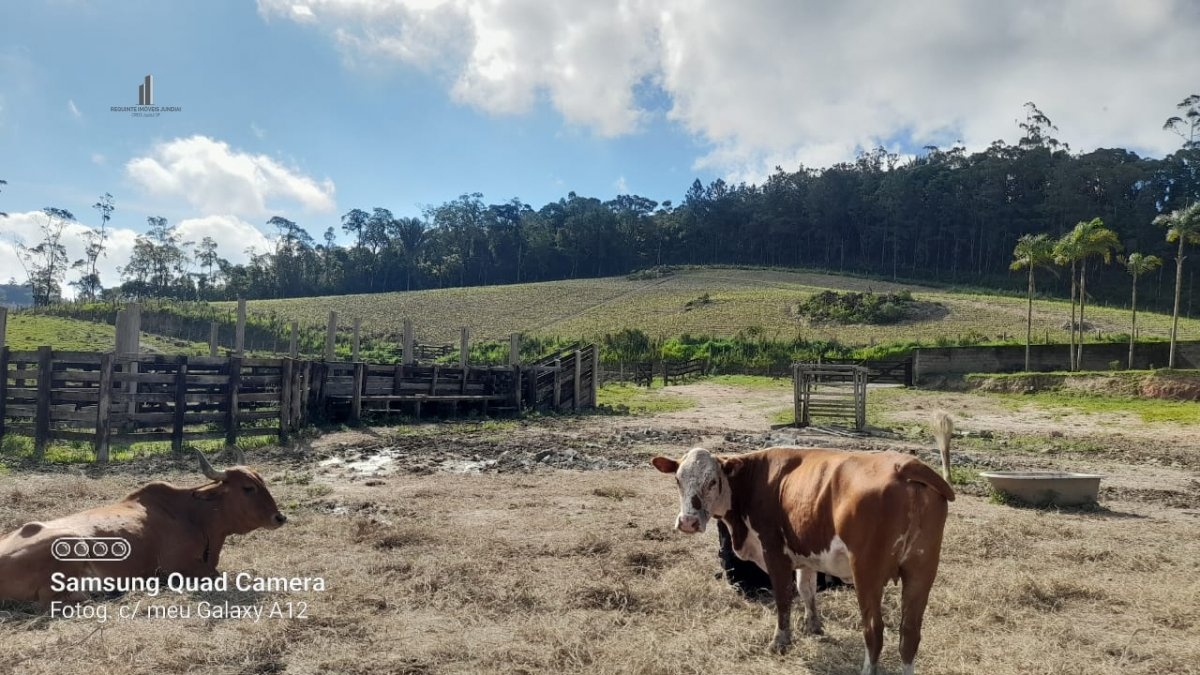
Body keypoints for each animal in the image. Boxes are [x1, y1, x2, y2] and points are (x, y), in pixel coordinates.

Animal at [0, 449, 288, 607]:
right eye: (247, 488)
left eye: (262, 482)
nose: (279, 518)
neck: (192, 514)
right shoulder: (178, 567)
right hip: (71, 547)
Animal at [652, 429, 950, 672]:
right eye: (678, 480)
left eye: (712, 481)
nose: (688, 522)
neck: (754, 479)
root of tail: (905, 465)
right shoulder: (806, 554)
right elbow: (806, 590)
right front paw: (813, 626)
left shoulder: (775, 553)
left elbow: (784, 598)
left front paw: (780, 641)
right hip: (921, 570)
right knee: (909, 635)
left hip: (867, 573)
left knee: (874, 631)